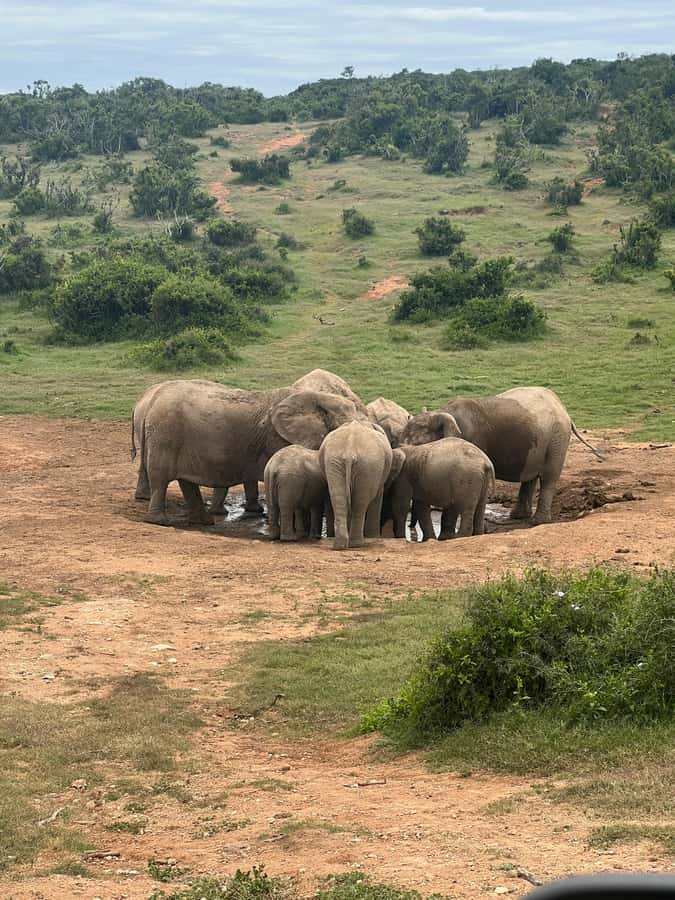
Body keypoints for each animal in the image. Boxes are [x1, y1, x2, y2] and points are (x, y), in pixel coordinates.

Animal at [131, 369, 367, 517]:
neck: (316, 397)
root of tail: (150, 400)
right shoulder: (277, 438)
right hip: (164, 435)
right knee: (160, 476)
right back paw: (158, 517)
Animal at [319, 421, 403, 550]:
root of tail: (349, 451)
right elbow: (378, 495)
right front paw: (373, 537)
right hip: (368, 465)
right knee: (360, 503)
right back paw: (357, 544)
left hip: (335, 462)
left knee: (340, 499)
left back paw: (340, 545)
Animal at [399, 387, 603, 525]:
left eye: (418, 445)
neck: (442, 412)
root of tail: (563, 408)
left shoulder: (475, 440)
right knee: (530, 478)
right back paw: (518, 516)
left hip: (557, 438)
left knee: (548, 477)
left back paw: (538, 522)